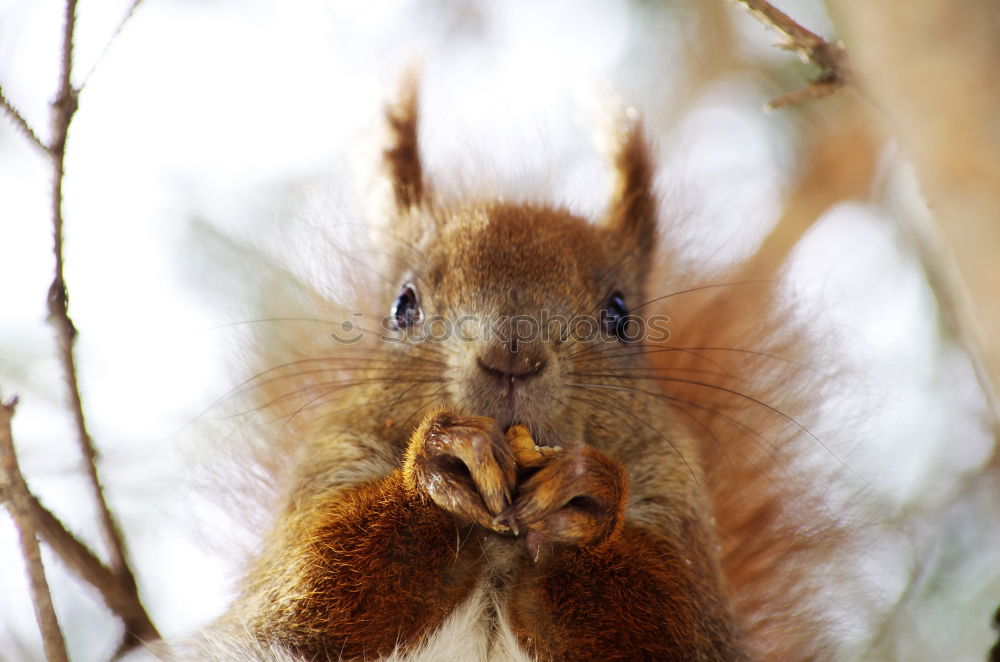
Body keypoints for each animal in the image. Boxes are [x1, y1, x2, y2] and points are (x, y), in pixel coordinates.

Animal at [160, 79, 856, 662]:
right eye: (403, 305)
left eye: (621, 315)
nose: (512, 355)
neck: (502, 539)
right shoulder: (326, 468)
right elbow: (312, 589)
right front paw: (436, 466)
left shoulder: (681, 510)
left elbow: (667, 623)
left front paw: (587, 499)